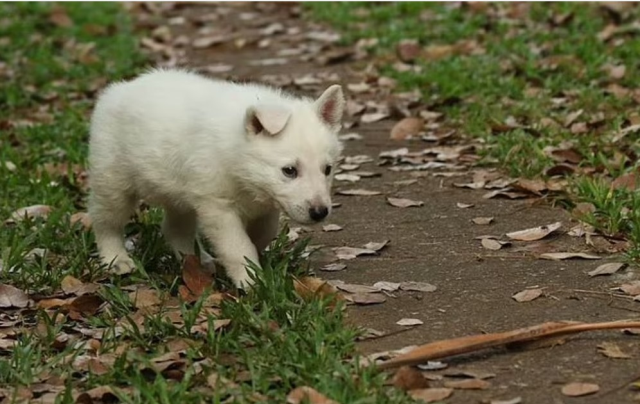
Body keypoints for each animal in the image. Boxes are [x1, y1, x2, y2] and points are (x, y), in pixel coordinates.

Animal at [89, 69, 344, 288]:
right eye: (289, 170)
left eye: (327, 169)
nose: (320, 213)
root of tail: (119, 88)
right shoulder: (218, 206)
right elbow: (237, 245)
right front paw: (251, 281)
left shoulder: (266, 203)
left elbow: (263, 233)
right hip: (112, 181)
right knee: (106, 221)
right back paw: (117, 260)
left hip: (180, 195)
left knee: (175, 229)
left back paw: (198, 261)